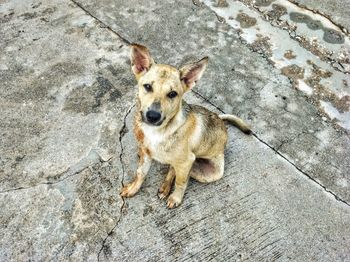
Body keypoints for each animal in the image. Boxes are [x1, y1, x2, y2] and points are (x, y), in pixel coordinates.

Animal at [120, 43, 252, 209]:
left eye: (172, 94)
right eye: (148, 87)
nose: (152, 116)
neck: (158, 131)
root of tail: (219, 118)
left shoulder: (186, 161)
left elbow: (181, 182)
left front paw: (176, 198)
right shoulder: (146, 153)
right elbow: (140, 173)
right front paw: (133, 188)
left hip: (205, 171)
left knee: (177, 171)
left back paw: (166, 188)